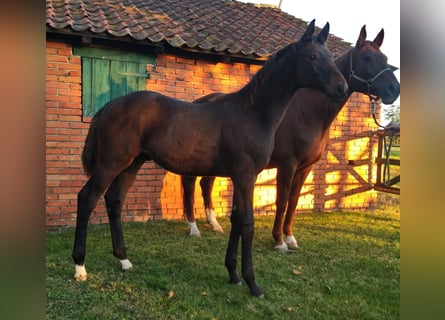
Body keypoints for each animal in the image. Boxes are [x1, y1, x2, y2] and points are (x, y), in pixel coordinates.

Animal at [72, 19, 346, 296]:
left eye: (329, 56)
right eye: (313, 56)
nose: (342, 87)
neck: (252, 112)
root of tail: (108, 106)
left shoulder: (239, 177)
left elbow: (236, 219)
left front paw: (233, 274)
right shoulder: (246, 176)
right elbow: (247, 224)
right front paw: (252, 283)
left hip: (132, 164)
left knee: (114, 200)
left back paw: (124, 260)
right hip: (110, 164)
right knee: (87, 198)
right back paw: (80, 267)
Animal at [180, 25, 398, 250]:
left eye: (385, 57)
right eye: (367, 57)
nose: (393, 89)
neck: (308, 113)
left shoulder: (305, 167)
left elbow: (294, 201)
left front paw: (290, 237)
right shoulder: (287, 164)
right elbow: (282, 201)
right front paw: (279, 240)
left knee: (206, 184)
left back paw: (214, 223)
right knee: (189, 183)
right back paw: (193, 227)